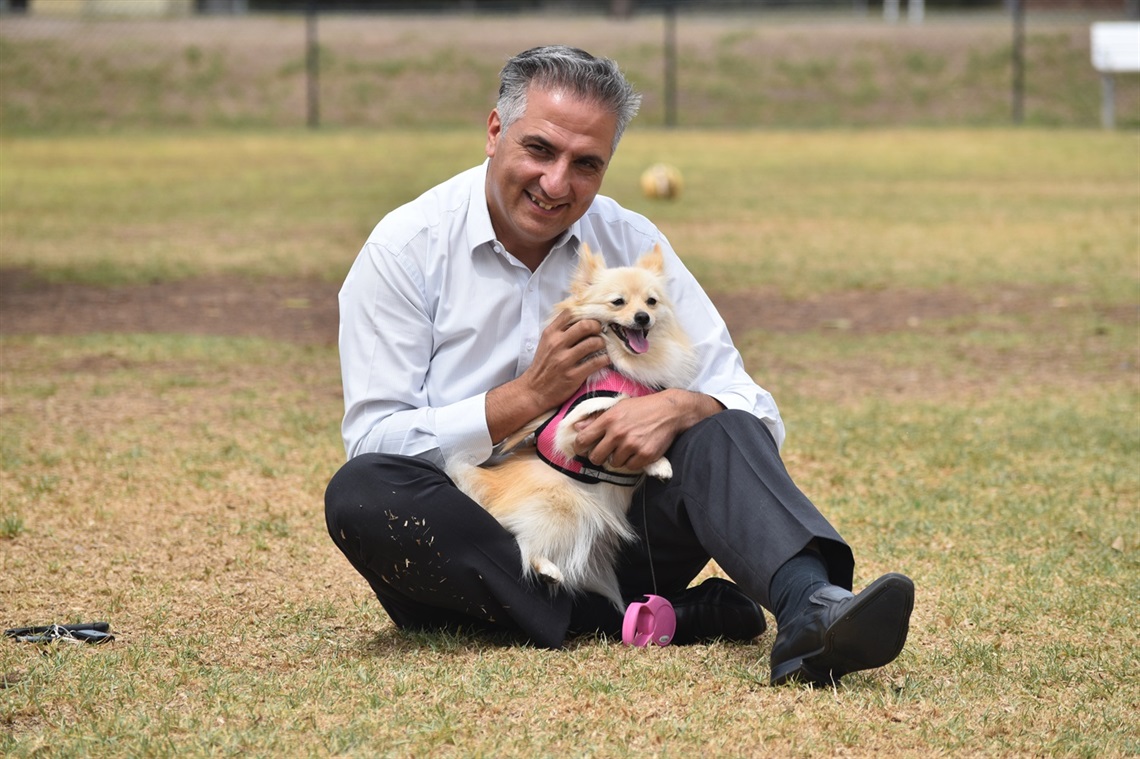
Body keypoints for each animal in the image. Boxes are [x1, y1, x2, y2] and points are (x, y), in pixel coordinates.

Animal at [442, 245, 693, 610]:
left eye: (651, 302)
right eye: (618, 302)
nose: (642, 318)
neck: (626, 364)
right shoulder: (573, 427)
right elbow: (616, 407)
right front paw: (654, 459)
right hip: (561, 509)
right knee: (523, 540)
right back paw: (547, 569)